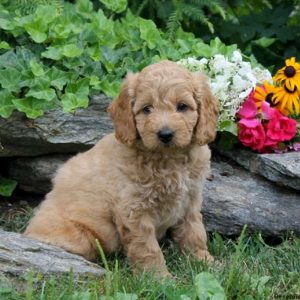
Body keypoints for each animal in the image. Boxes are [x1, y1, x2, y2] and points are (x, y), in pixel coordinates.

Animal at [24, 60, 218, 276]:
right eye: (147, 109)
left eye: (182, 107)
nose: (165, 134)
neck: (168, 158)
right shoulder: (133, 210)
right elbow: (147, 247)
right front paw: (158, 277)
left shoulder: (190, 199)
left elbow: (194, 232)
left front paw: (204, 262)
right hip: (81, 238)